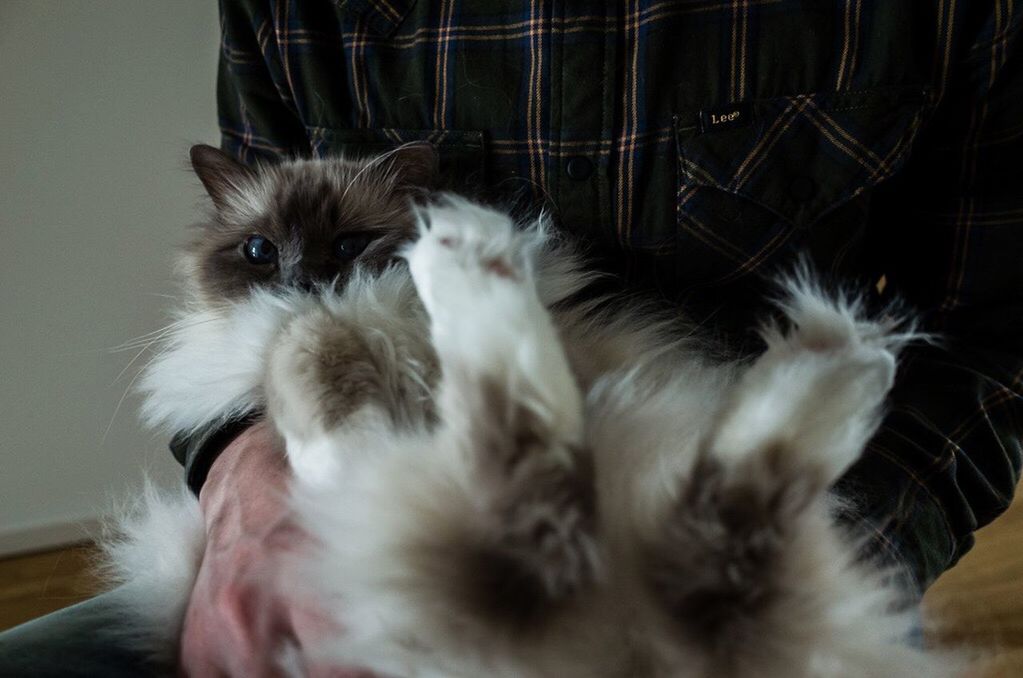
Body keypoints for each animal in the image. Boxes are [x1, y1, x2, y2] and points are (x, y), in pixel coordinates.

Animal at [99, 140, 953, 674]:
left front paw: (348, 455)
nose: (303, 279)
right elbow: (299, 358)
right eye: (258, 252)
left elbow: (311, 353)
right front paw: (351, 454)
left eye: (345, 246)